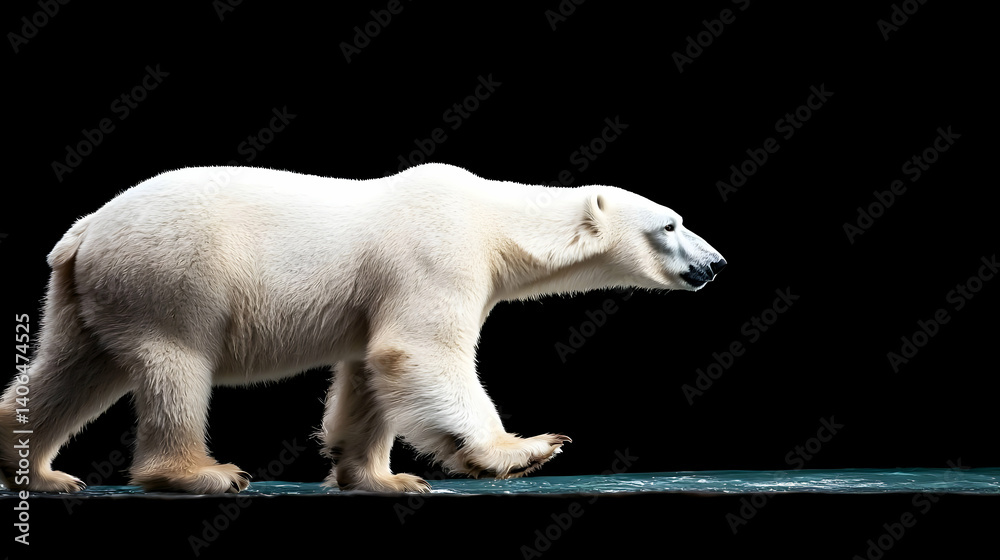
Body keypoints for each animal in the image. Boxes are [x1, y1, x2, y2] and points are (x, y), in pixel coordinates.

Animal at [0, 163, 725, 494]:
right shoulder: (437, 253)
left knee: (72, 369)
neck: (494, 218)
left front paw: (379, 477)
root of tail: (83, 230)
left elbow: (369, 373)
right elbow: (421, 352)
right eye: (670, 224)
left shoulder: (374, 298)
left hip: (90, 295)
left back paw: (37, 470)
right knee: (175, 364)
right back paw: (204, 472)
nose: (716, 263)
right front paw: (523, 448)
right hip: (171, 274)